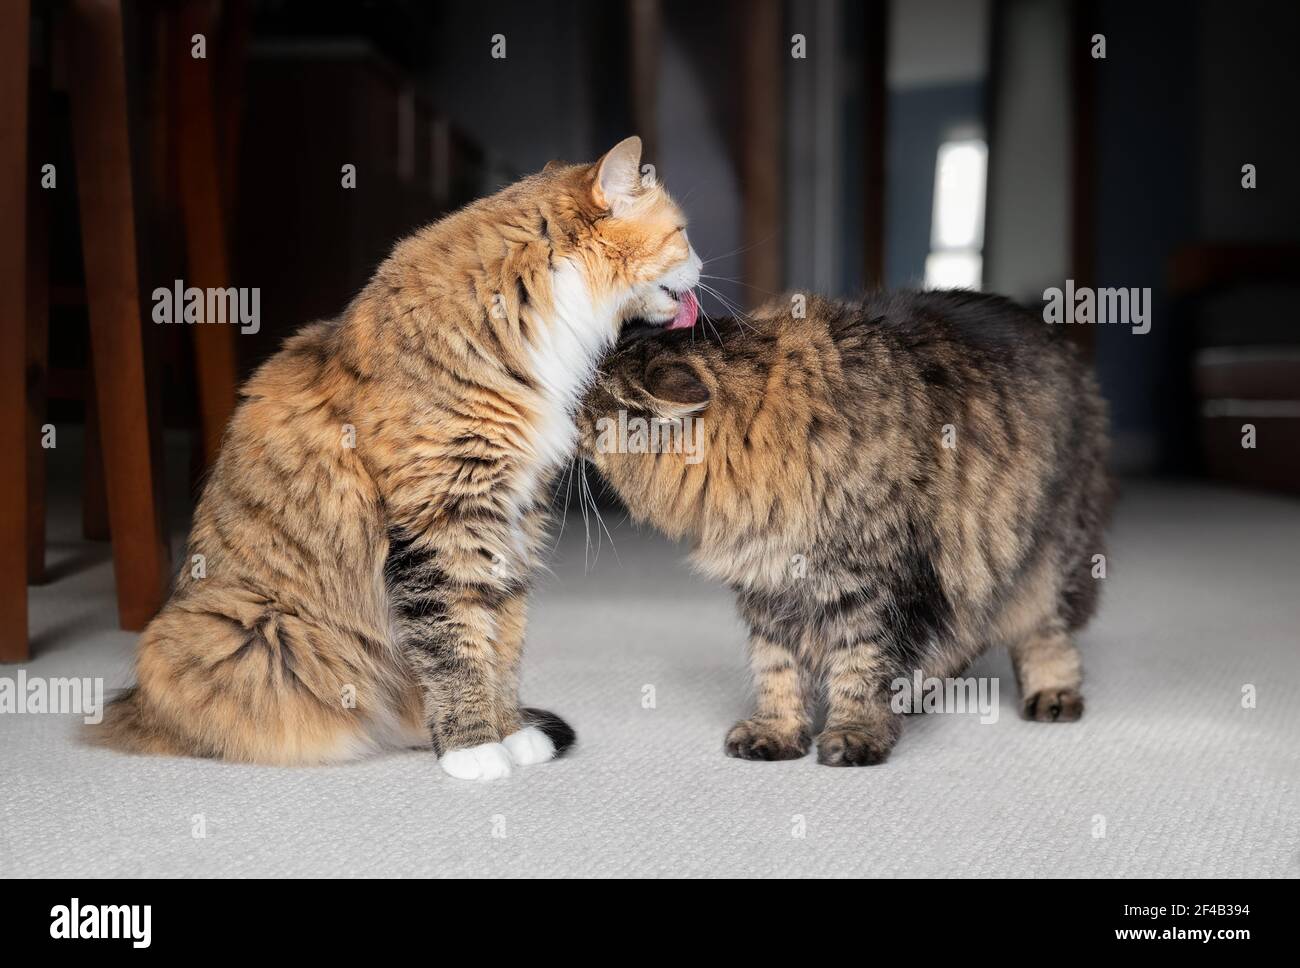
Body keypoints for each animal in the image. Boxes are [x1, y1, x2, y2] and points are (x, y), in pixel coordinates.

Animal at [94, 135, 702, 779]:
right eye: (682, 233)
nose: (703, 265)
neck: (527, 310)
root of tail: (133, 705)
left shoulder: (513, 519)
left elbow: (502, 644)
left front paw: (512, 733)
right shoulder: (443, 521)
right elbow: (456, 646)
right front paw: (474, 750)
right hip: (252, 631)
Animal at [585, 287, 1112, 764]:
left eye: (584, 407)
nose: (569, 422)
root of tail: (1060, 343)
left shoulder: (874, 590)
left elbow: (860, 669)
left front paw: (854, 734)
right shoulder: (769, 588)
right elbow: (777, 670)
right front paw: (778, 733)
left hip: (1045, 557)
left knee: (1044, 632)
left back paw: (1051, 695)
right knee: (963, 633)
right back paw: (916, 694)